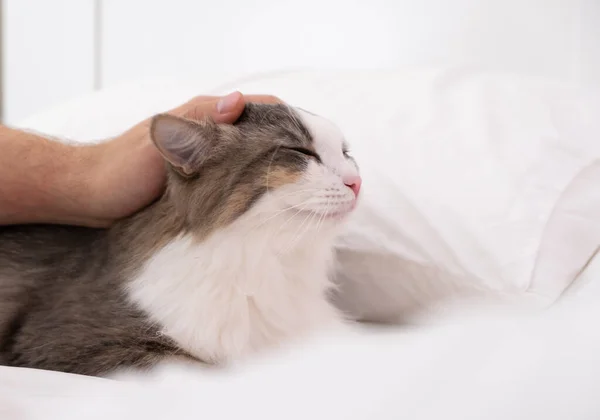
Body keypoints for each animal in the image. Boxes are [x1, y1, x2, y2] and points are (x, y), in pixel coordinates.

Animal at [0, 102, 360, 378]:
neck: (270, 264)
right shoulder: (66, 344)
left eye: (346, 153)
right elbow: (194, 365)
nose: (356, 181)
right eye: (300, 151)